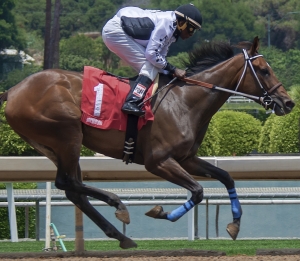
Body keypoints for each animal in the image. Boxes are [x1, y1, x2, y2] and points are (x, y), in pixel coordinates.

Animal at [0, 36, 296, 246]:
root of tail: (13, 90)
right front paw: (161, 212)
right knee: (67, 182)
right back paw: (118, 205)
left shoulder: (187, 158)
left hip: (52, 144)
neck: (186, 101)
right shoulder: (158, 161)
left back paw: (122, 236)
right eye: (263, 70)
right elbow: (198, 191)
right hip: (67, 135)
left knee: (73, 188)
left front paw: (234, 224)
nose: (288, 102)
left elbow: (226, 177)